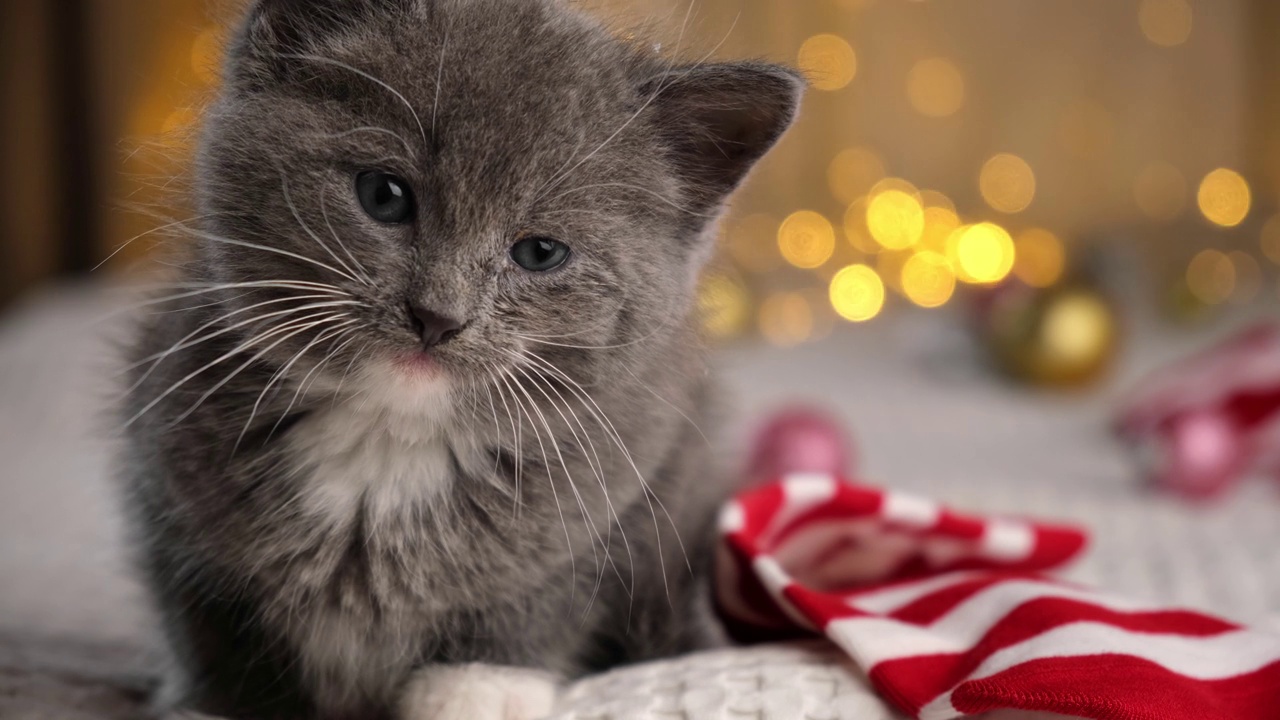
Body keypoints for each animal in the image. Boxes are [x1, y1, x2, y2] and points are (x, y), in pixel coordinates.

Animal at [120, 1, 798, 717]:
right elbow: (211, 625)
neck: (389, 440)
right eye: (384, 195)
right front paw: (225, 700)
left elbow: (538, 599)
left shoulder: (625, 488)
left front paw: (477, 687)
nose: (437, 317)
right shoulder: (169, 489)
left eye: (540, 252)